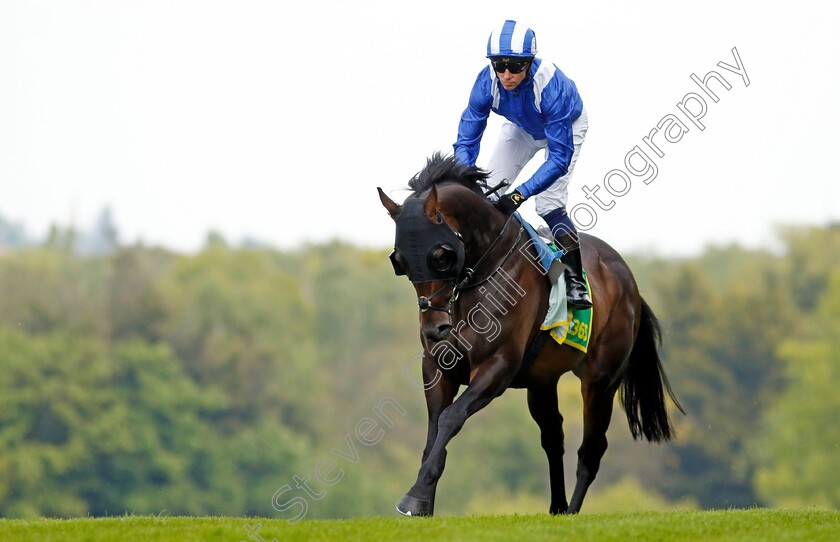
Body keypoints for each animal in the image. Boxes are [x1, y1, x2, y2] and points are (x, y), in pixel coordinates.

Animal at [378, 154, 680, 520]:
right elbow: (434, 430)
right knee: (553, 437)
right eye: (400, 261)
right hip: (542, 381)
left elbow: (451, 418)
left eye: (440, 256)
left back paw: (572, 512)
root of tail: (628, 279)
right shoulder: (437, 367)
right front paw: (423, 501)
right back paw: (557, 508)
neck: (481, 273)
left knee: (591, 450)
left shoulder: (497, 367)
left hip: (600, 380)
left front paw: (415, 498)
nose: (434, 329)